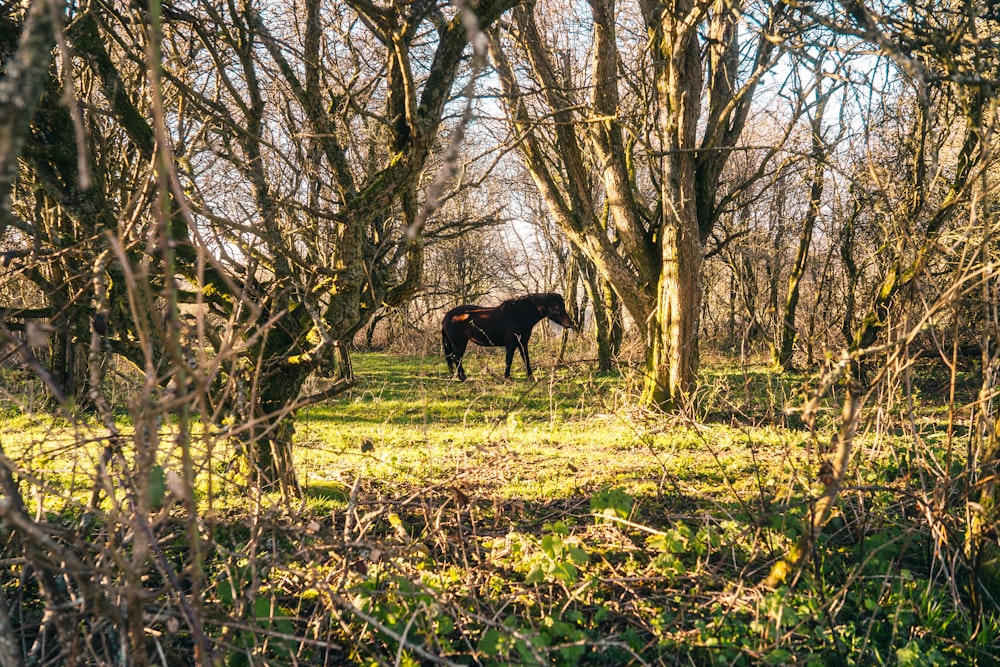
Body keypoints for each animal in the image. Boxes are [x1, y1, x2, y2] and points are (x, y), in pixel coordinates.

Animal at [442, 292, 576, 380]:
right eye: (557, 307)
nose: (570, 323)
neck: (519, 315)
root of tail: (447, 316)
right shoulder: (511, 343)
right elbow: (509, 360)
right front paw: (507, 377)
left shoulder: (523, 343)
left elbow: (526, 359)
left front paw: (530, 377)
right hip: (458, 343)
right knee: (456, 357)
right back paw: (462, 377)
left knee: (455, 357)